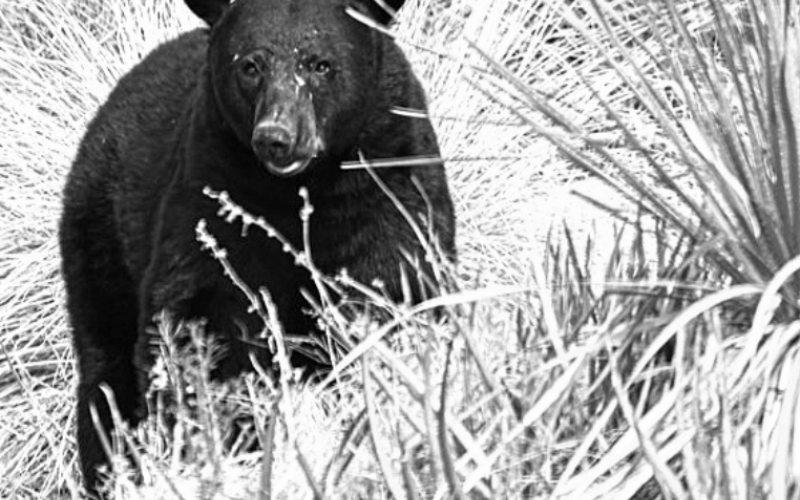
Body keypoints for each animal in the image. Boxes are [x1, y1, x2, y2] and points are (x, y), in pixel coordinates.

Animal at [59, 0, 455, 493]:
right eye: (250, 66)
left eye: (321, 64)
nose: (277, 136)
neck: (300, 192)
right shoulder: (209, 194)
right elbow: (205, 326)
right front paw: (223, 437)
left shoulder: (389, 180)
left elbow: (395, 287)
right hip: (99, 236)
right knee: (106, 370)